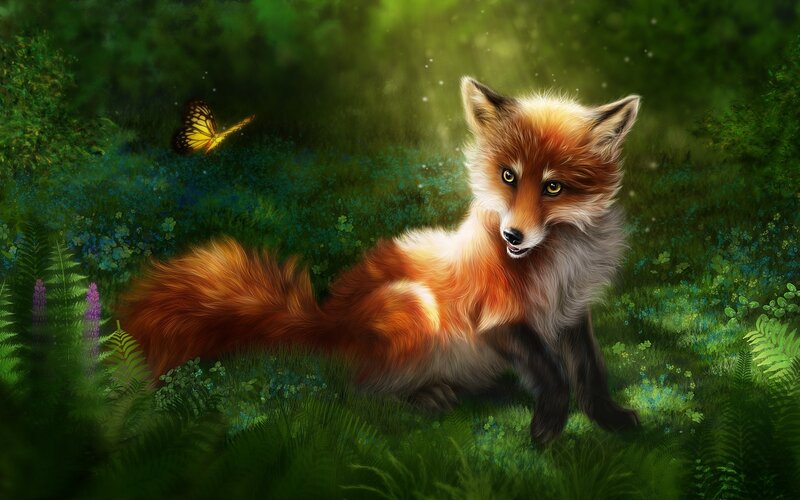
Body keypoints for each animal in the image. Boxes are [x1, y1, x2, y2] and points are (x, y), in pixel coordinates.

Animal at [120, 77, 642, 445]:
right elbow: (553, 375)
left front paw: (611, 420)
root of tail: (328, 321)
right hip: (415, 308)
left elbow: (589, 374)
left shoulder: (570, 314)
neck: (556, 264)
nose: (512, 235)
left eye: (553, 186)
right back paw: (423, 399)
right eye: (508, 176)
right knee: (357, 398)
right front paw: (548, 426)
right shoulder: (497, 317)